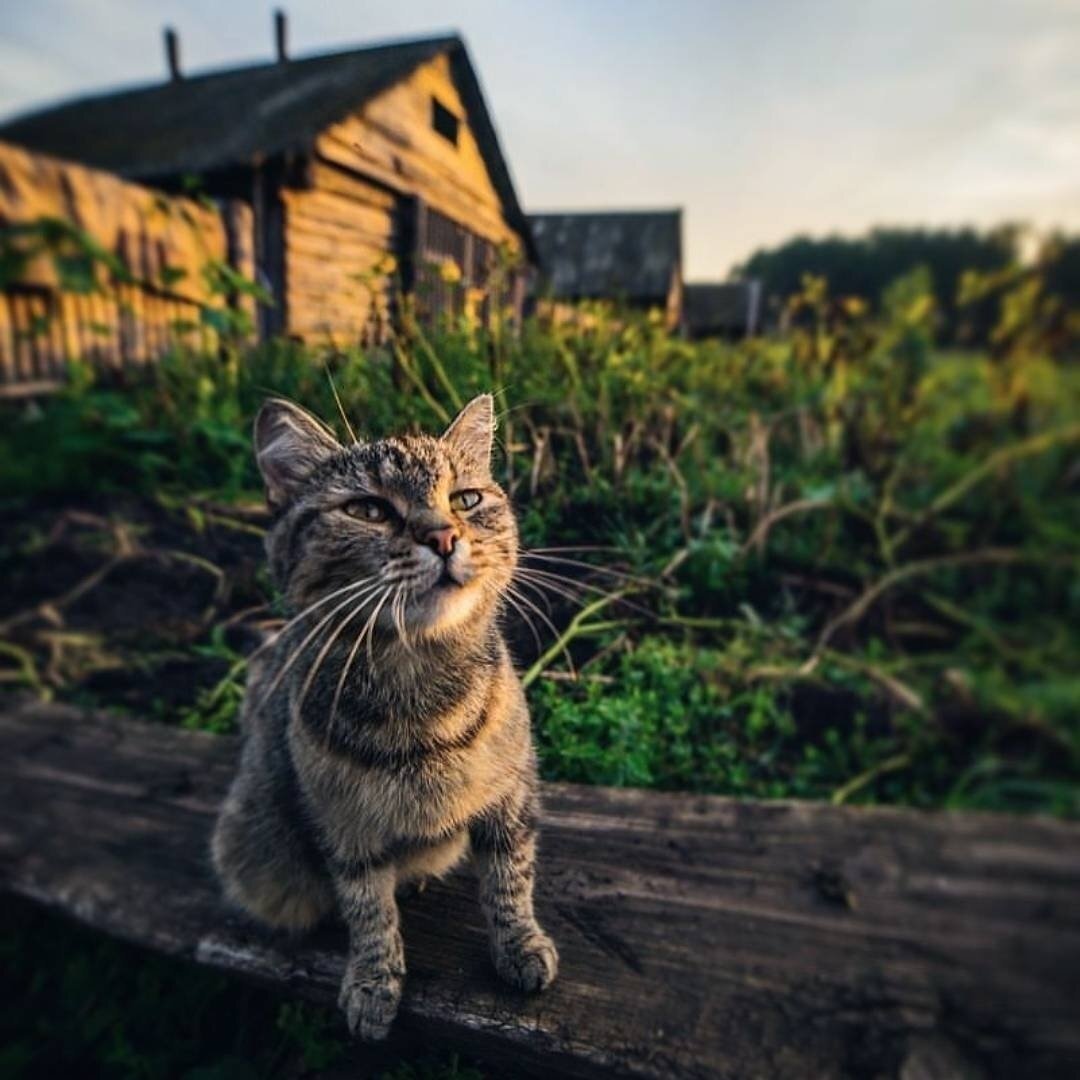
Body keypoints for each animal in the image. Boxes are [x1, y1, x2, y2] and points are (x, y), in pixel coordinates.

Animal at [214, 395, 561, 1036]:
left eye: (465, 500)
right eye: (368, 509)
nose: (444, 536)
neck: (417, 688)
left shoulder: (511, 793)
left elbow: (510, 879)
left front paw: (521, 947)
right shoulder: (347, 830)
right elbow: (369, 911)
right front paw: (373, 983)